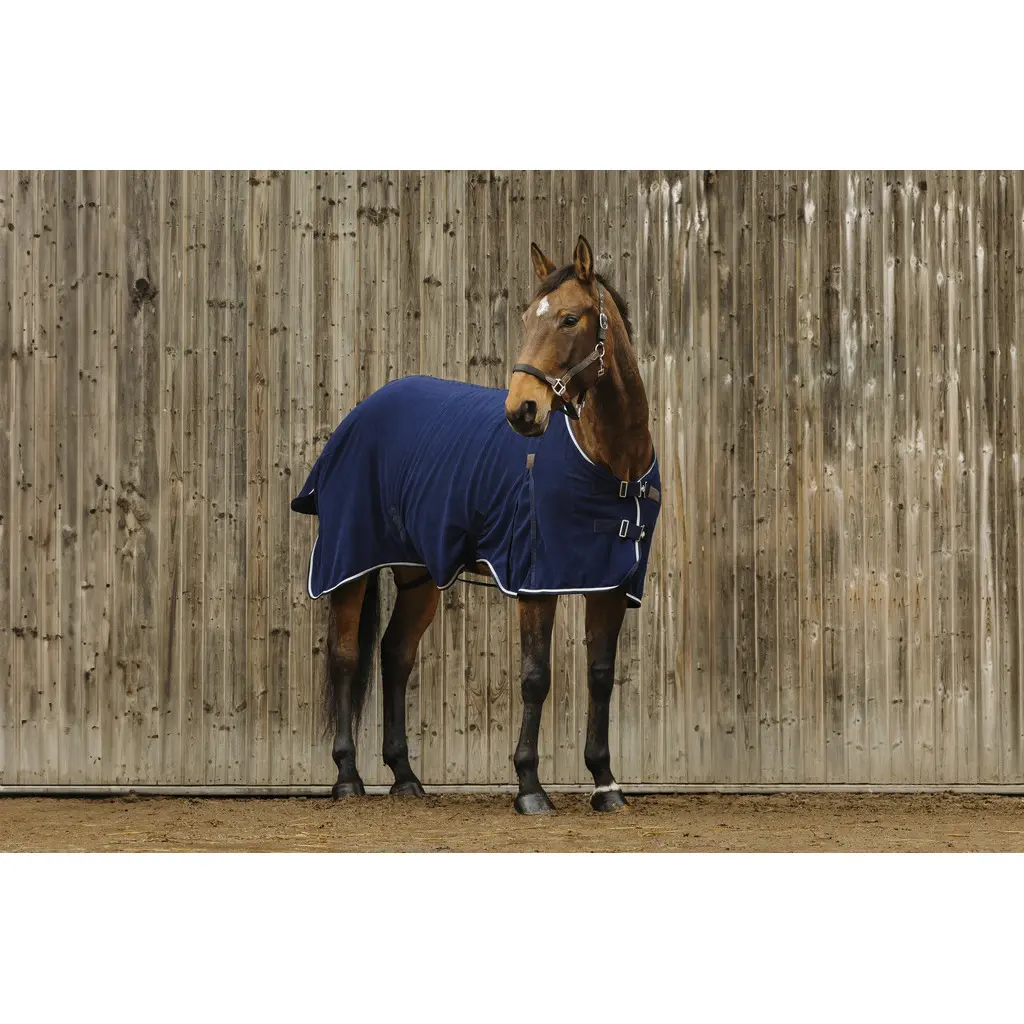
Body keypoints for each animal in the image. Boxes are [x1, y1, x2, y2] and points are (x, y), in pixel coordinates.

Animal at [291, 235, 660, 813]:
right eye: (527, 317)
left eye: (570, 319)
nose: (522, 410)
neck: (611, 464)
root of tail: (362, 412)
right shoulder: (536, 581)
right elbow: (535, 677)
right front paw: (530, 787)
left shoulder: (611, 584)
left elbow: (601, 677)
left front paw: (605, 784)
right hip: (350, 562)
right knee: (346, 657)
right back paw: (348, 777)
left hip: (418, 574)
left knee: (396, 655)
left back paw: (405, 777)